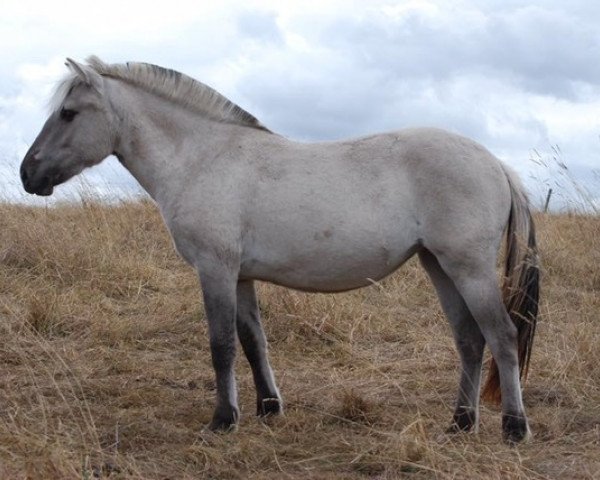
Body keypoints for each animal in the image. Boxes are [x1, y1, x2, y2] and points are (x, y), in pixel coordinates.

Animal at [19, 56, 540, 442]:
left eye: (68, 113)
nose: (28, 173)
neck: (202, 158)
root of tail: (496, 163)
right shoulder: (241, 275)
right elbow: (253, 341)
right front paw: (268, 407)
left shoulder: (215, 269)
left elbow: (222, 344)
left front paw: (223, 419)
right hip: (440, 266)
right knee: (470, 340)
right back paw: (460, 423)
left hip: (468, 268)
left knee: (501, 336)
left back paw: (513, 428)